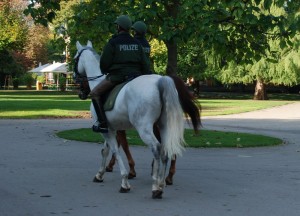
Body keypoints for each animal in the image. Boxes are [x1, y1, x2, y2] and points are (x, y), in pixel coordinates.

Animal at [74, 40, 202, 199]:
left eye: (75, 58)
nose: (80, 90)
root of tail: (161, 81)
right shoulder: (110, 128)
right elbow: (105, 150)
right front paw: (100, 174)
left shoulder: (107, 130)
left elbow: (116, 151)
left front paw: (124, 182)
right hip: (164, 126)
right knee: (165, 150)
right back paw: (161, 183)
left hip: (145, 129)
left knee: (157, 148)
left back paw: (156, 185)